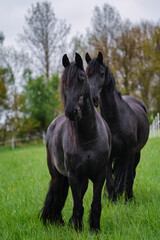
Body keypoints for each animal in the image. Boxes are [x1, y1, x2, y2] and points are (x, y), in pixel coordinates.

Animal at [39, 53, 110, 232]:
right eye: (64, 82)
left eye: (81, 78)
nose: (72, 112)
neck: (89, 137)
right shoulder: (73, 176)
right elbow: (77, 204)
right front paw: (77, 229)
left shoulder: (100, 175)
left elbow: (95, 204)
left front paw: (94, 229)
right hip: (57, 175)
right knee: (57, 196)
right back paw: (57, 221)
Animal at [85, 51, 149, 202]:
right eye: (87, 74)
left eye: (102, 74)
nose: (93, 98)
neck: (115, 121)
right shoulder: (109, 156)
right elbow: (110, 181)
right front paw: (112, 200)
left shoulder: (130, 153)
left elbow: (128, 178)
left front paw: (129, 200)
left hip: (135, 154)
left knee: (129, 174)